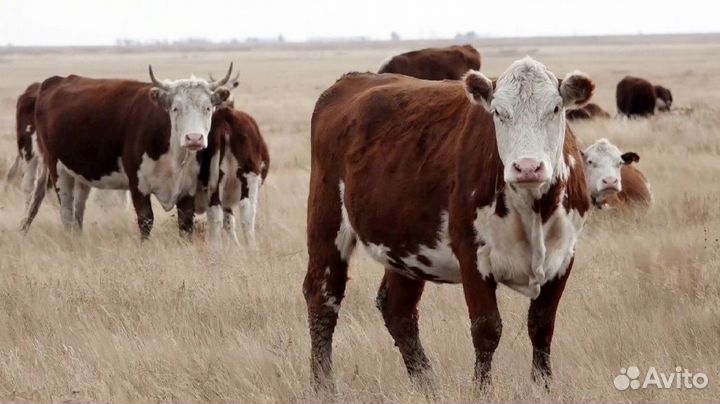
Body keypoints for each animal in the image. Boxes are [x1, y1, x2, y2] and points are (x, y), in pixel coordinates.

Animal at [21, 64, 234, 239]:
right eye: (175, 108)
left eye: (208, 108)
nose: (194, 138)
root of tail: (55, 81)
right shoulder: (137, 185)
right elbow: (146, 221)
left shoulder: (187, 189)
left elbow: (185, 225)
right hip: (58, 168)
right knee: (66, 211)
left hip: (79, 175)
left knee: (78, 210)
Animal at [196, 106, 270, 245]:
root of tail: (224, 113)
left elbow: (228, 221)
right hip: (249, 177)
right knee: (247, 213)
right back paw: (252, 248)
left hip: (214, 181)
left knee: (215, 216)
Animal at [304, 57, 594, 391]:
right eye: (499, 112)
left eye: (556, 109)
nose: (527, 167)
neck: (533, 208)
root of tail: (352, 79)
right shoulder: (472, 256)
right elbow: (487, 329)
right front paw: (482, 391)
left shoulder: (563, 257)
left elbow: (542, 326)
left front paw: (542, 387)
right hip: (327, 221)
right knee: (323, 296)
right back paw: (324, 385)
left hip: (406, 244)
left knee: (398, 309)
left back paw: (427, 385)